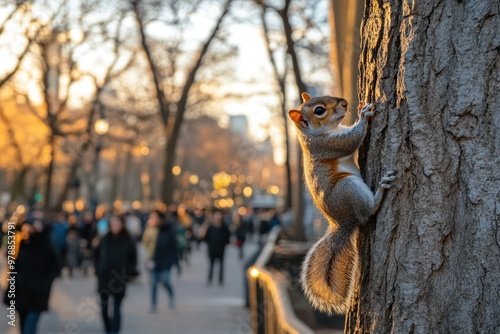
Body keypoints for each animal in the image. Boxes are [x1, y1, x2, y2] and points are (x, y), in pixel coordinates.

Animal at [290, 92, 394, 314]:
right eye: (319, 110)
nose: (345, 103)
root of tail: (343, 223)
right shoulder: (327, 145)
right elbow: (352, 140)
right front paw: (364, 116)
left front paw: (361, 108)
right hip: (349, 188)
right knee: (367, 211)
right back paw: (382, 189)